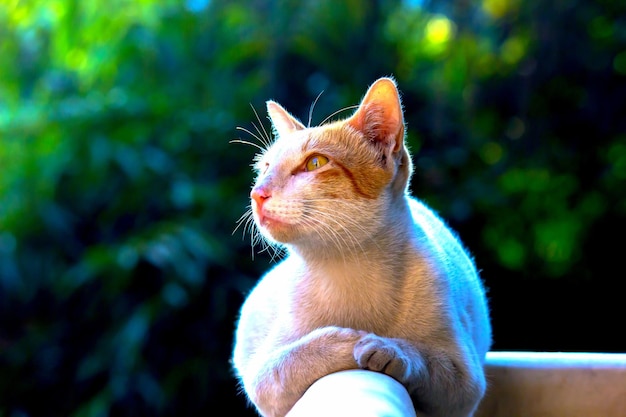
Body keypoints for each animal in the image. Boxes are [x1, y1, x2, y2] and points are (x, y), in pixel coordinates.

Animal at [232, 77, 490, 416]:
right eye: (264, 168)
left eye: (315, 162)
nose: (257, 193)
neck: (349, 268)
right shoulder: (263, 376)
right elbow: (296, 356)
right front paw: (350, 340)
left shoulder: (464, 383)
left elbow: (422, 359)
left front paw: (385, 347)